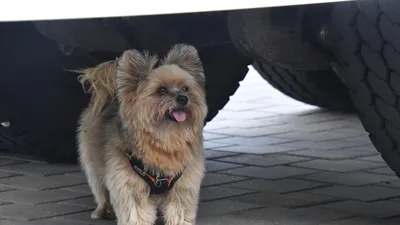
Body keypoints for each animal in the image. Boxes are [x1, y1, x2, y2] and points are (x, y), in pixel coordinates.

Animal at [76, 44, 208, 225]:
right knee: (100, 191)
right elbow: (136, 214)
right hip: (94, 168)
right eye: (161, 90)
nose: (183, 98)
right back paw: (102, 210)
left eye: (185, 88)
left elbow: (178, 212)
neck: (166, 139)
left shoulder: (183, 187)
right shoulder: (130, 187)